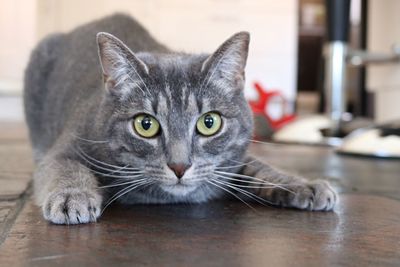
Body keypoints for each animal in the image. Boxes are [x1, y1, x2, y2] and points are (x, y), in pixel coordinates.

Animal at [24, 13, 338, 225]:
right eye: (145, 125)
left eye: (209, 123)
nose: (179, 166)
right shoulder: (66, 148)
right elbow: (65, 168)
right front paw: (72, 196)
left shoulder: (234, 159)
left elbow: (262, 167)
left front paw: (303, 184)